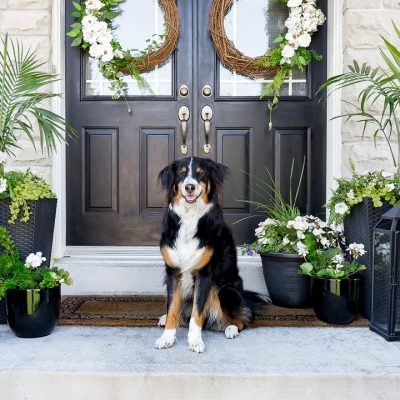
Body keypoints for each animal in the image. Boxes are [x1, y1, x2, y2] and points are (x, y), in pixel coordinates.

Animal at [156, 156, 268, 354]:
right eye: (181, 173)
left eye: (200, 173)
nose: (190, 187)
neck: (189, 217)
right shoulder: (172, 272)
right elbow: (172, 309)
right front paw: (167, 338)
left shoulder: (204, 274)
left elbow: (197, 313)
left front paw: (195, 341)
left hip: (225, 290)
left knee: (243, 319)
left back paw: (231, 329)